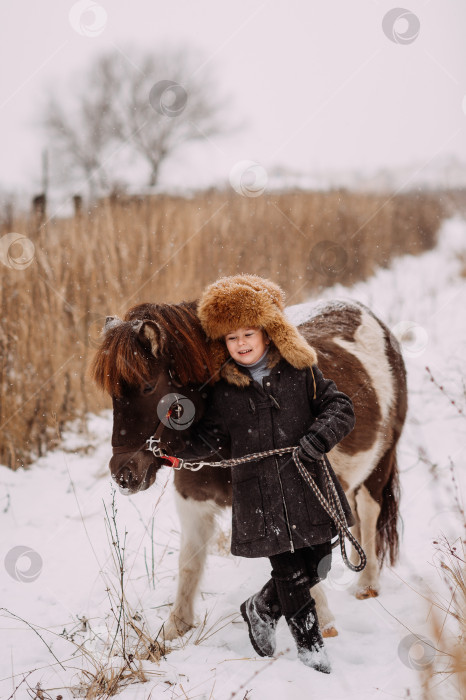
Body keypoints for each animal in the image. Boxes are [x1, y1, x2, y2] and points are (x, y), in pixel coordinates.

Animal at [92, 298, 408, 636]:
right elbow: (189, 562)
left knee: (370, 512)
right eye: (112, 394)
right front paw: (175, 628)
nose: (124, 475)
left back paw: (367, 585)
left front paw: (323, 623)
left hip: (381, 462)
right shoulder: (192, 503)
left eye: (149, 387)